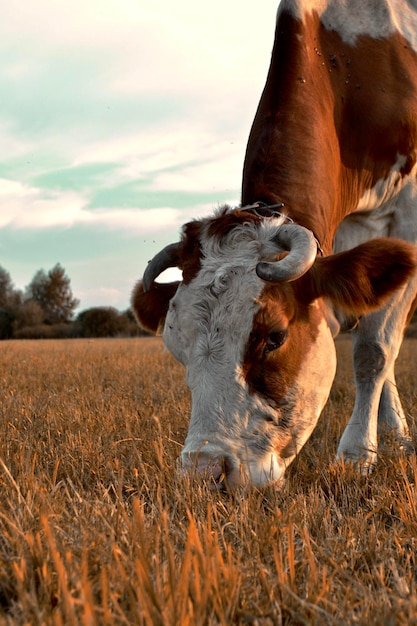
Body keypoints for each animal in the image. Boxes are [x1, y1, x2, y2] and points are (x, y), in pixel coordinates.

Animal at [132, 0, 416, 488]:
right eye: (176, 346)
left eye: (274, 337)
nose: (204, 473)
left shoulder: (410, 212)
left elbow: (374, 350)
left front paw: (357, 455)